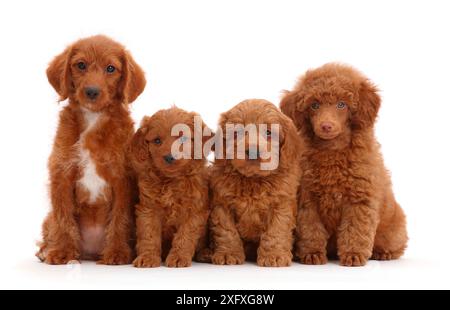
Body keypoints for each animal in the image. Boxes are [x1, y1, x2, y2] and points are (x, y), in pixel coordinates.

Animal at [37, 35, 146, 264]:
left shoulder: (123, 179)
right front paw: (62, 251)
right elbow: (63, 217)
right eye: (81, 65)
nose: (92, 92)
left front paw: (117, 252)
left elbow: (121, 218)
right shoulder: (61, 175)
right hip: (47, 219)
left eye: (111, 68)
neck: (93, 118)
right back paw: (46, 249)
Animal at [129, 106, 212, 266]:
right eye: (157, 140)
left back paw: (206, 253)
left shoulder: (194, 211)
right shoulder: (149, 208)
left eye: (183, 138)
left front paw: (179, 257)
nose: (169, 157)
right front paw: (147, 257)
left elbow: (185, 236)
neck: (171, 181)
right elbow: (148, 234)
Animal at [210, 99, 302, 266]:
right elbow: (227, 231)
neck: (253, 180)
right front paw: (228, 254)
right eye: (238, 132)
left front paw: (274, 255)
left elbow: (276, 231)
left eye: (268, 133)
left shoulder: (281, 205)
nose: (253, 151)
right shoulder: (222, 204)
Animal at [284, 63, 410, 266]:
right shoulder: (307, 198)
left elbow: (355, 229)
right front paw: (312, 254)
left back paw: (382, 253)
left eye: (341, 104)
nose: (326, 126)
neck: (332, 150)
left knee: (396, 244)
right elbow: (311, 229)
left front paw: (353, 254)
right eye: (314, 105)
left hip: (394, 228)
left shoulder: (359, 199)